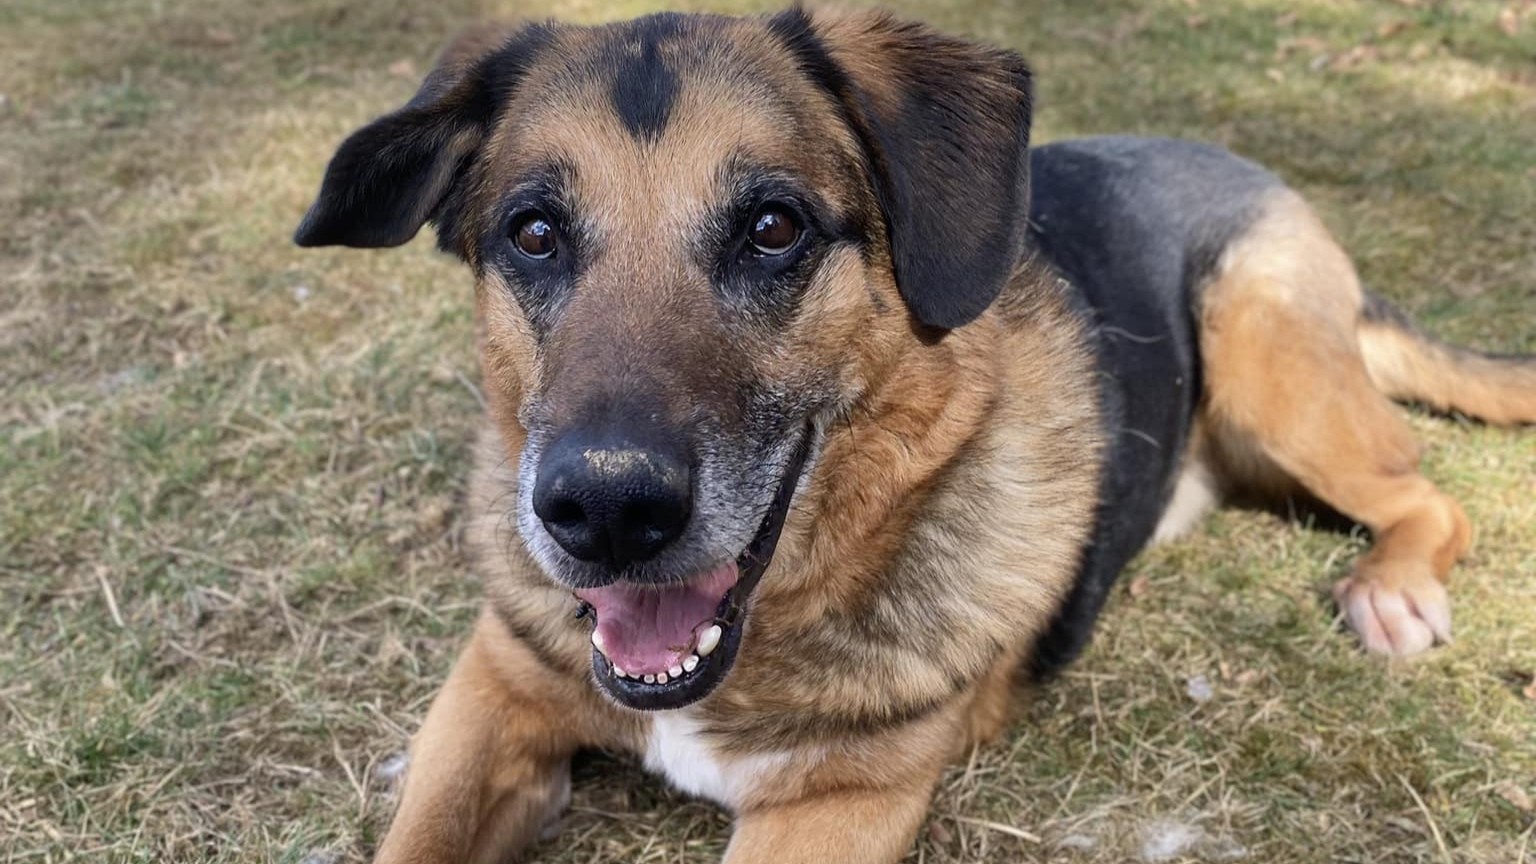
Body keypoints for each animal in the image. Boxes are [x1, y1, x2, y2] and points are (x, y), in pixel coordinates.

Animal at [290, 8, 1536, 860]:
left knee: (1426, 493)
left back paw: (1392, 588)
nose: (603, 511)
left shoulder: (839, 809)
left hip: (1262, 351)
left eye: (774, 227)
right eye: (534, 233)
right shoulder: (491, 694)